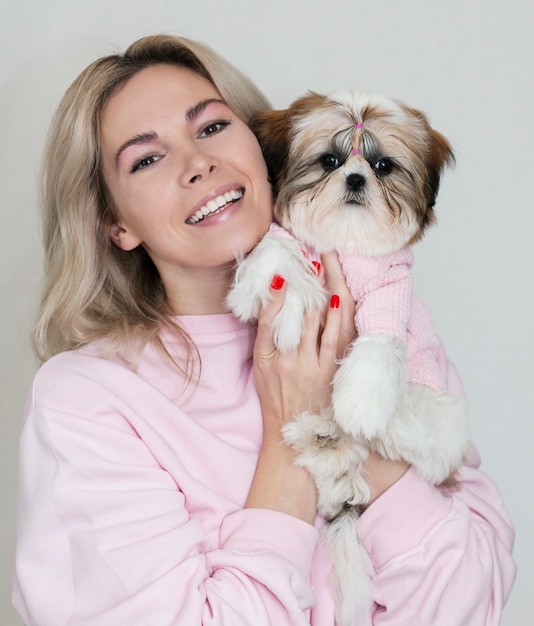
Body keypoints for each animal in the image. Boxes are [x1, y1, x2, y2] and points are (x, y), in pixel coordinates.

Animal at [228, 90, 472, 620]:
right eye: (330, 161)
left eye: (383, 166)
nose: (357, 179)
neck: (348, 242)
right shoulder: (290, 240)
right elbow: (278, 254)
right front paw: (279, 301)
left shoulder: (390, 288)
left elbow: (380, 343)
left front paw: (359, 402)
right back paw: (319, 439)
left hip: (434, 417)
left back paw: (334, 431)